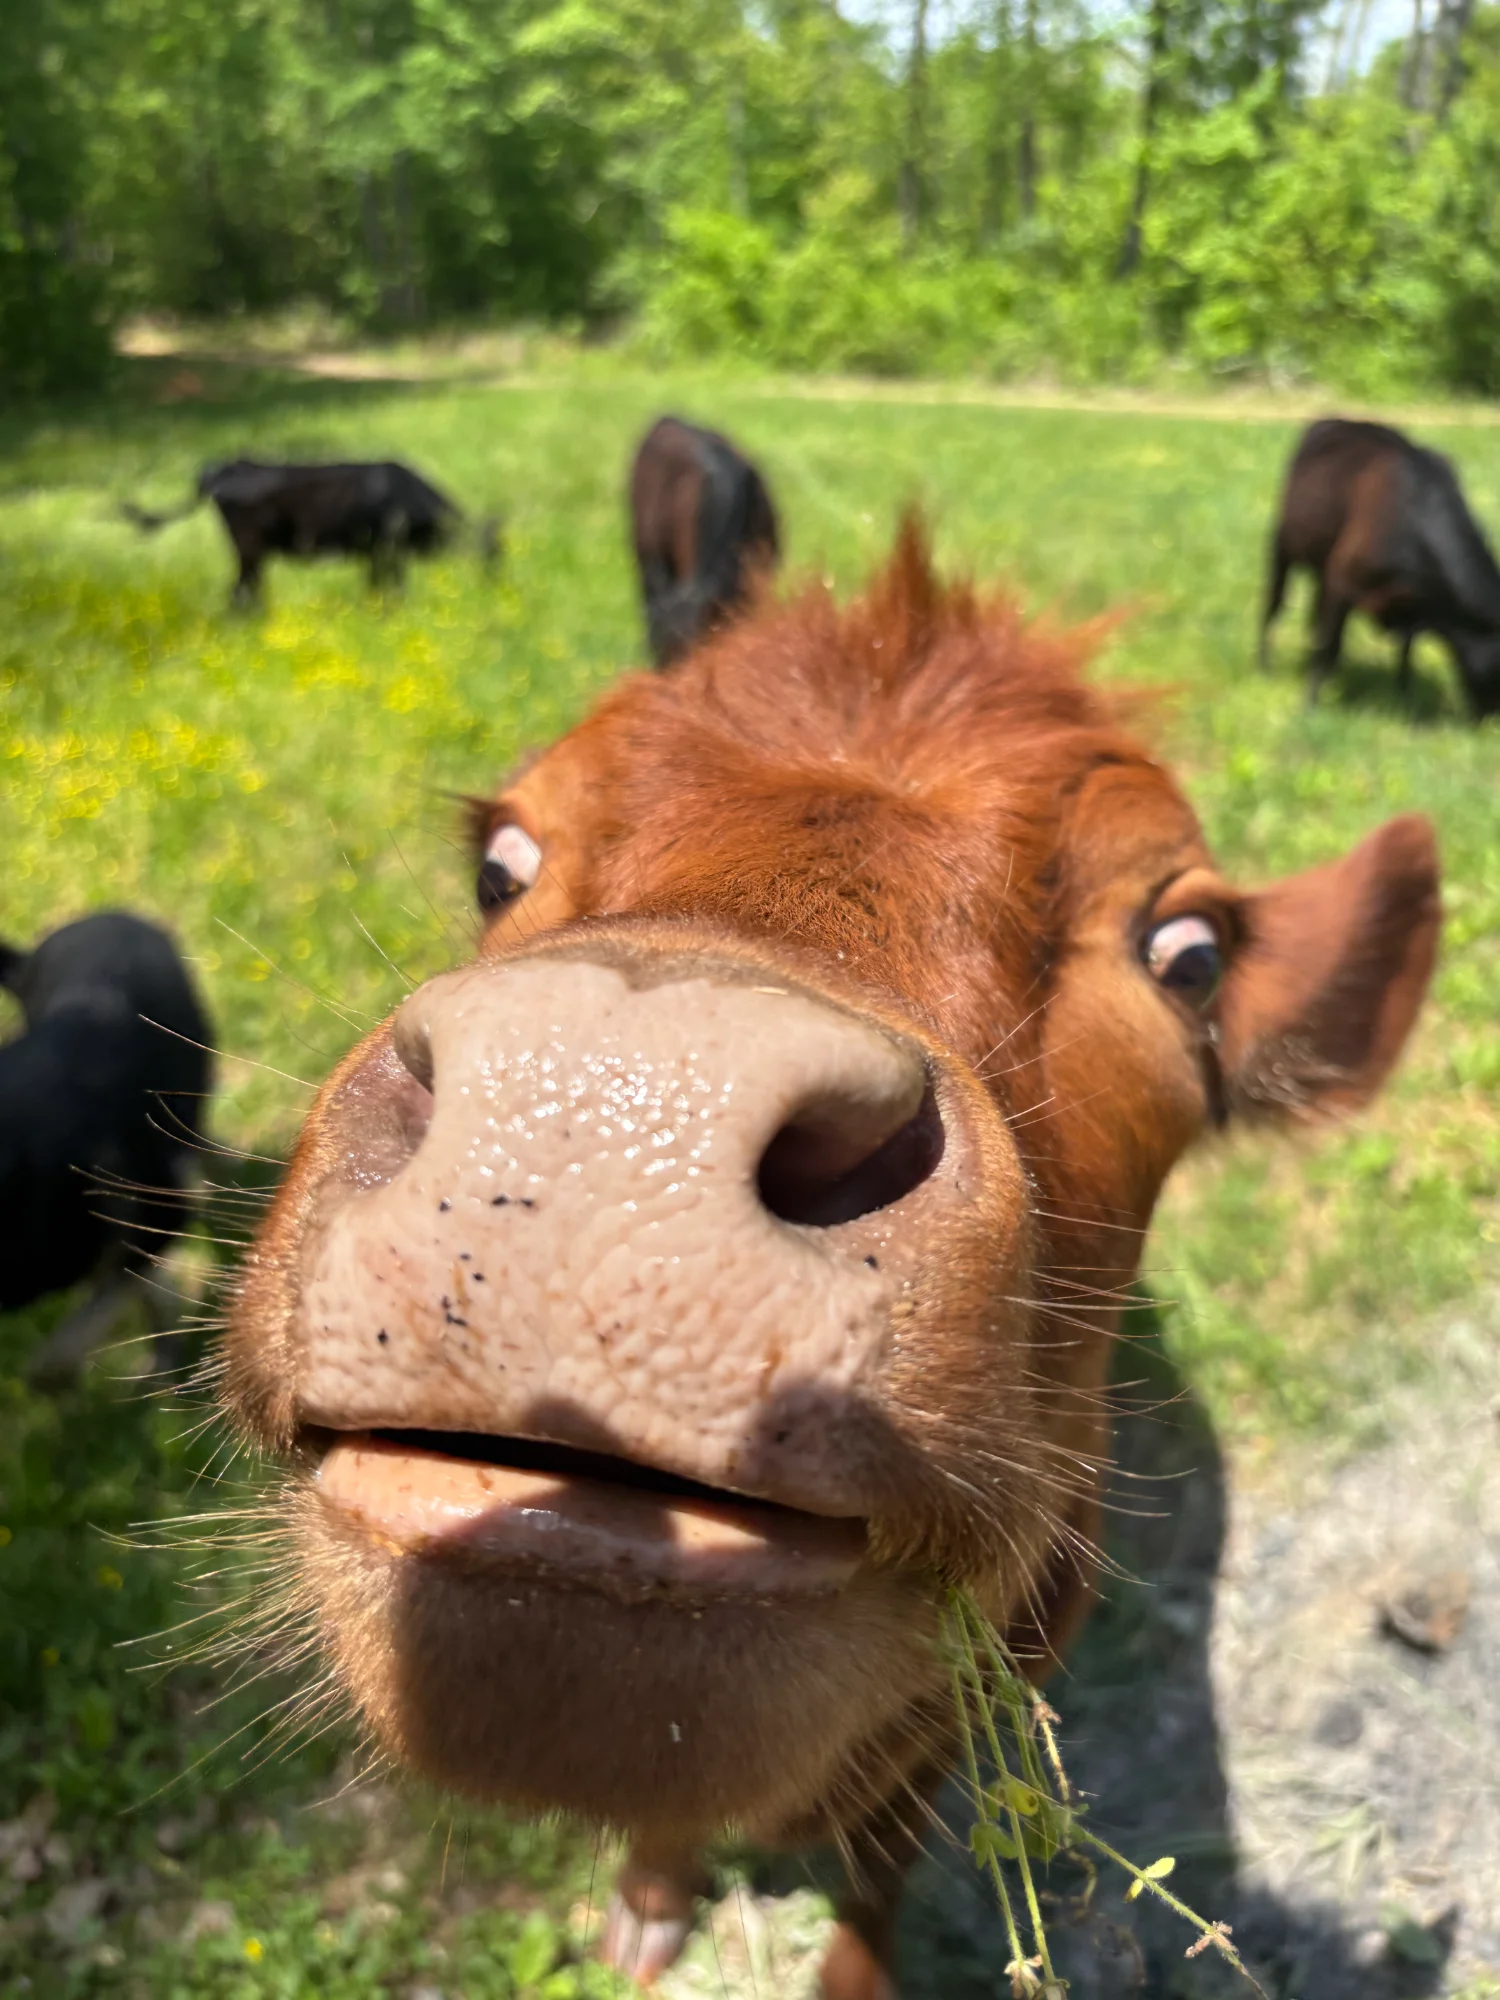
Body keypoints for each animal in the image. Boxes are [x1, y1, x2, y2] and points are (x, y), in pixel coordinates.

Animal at [122, 459, 499, 608]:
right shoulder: (385, 551)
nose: (496, 587)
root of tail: (226, 465)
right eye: (492, 551)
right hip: (249, 550)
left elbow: (382, 587)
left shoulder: (380, 555)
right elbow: (391, 588)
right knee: (240, 594)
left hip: (251, 555)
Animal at [1261, 416, 1500, 716]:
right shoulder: (1341, 582)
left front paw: (1406, 702)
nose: (1489, 719)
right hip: (1281, 547)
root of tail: (1339, 420)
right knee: (1273, 605)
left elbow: (1405, 655)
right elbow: (1330, 648)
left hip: (1320, 565)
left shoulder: (1412, 609)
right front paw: (1310, 705)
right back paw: (1263, 666)